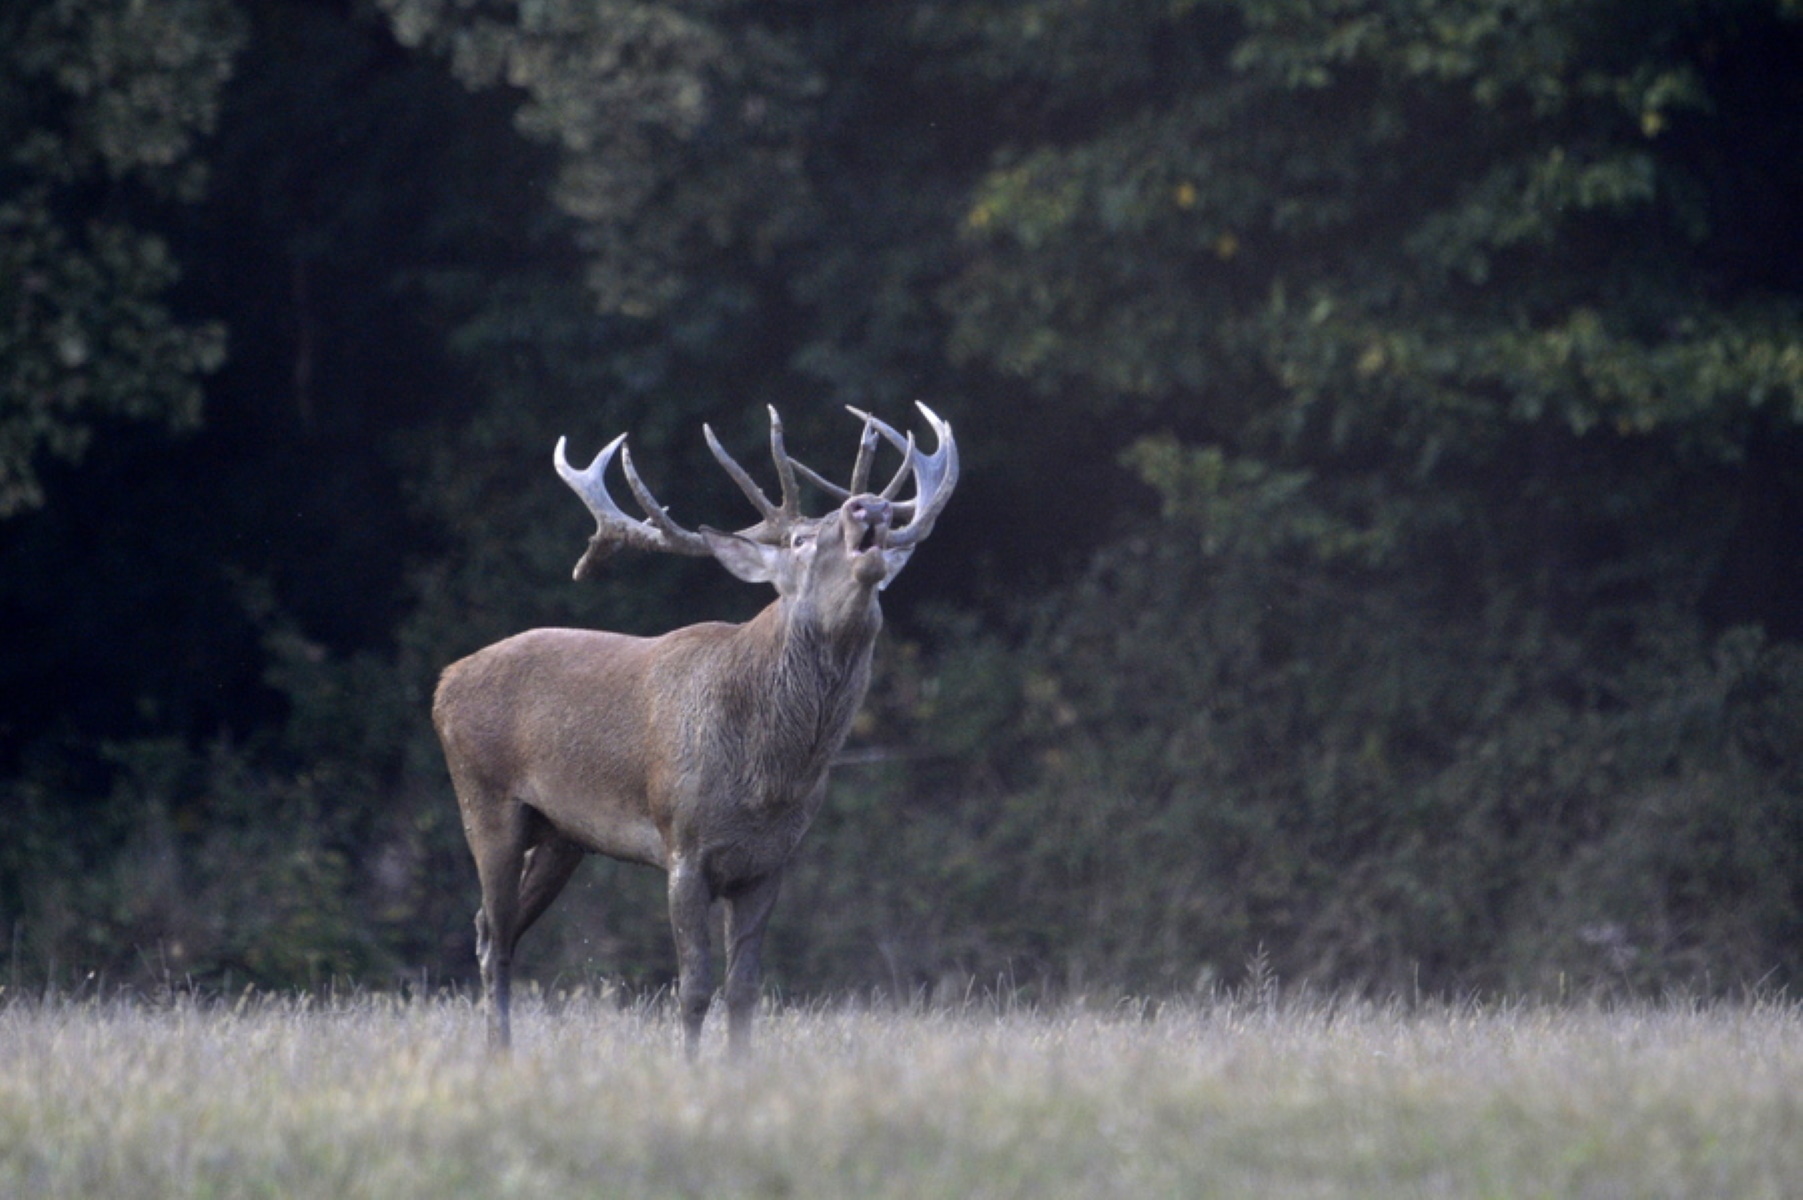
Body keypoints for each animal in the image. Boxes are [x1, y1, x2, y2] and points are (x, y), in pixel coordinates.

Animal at [430, 400, 959, 1045]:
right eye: (802, 539)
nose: (869, 507)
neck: (769, 778)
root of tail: (444, 681)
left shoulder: (770, 862)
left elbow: (745, 990)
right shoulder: (683, 844)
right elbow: (694, 989)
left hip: (562, 837)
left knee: (491, 927)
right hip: (484, 799)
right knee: (495, 935)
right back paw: (499, 1051)